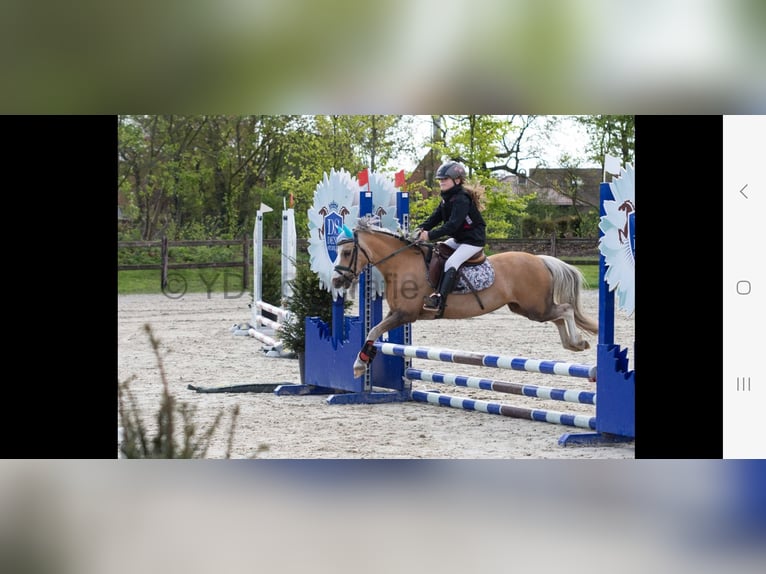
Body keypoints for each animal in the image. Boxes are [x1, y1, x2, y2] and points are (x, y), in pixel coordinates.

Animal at [332, 218, 604, 380]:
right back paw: (574, 344)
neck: (401, 262)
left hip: (535, 308)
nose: (336, 281)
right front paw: (363, 361)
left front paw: (359, 364)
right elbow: (375, 331)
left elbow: (373, 330)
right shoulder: (397, 313)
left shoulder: (405, 314)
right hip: (527, 309)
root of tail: (540, 259)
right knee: (558, 316)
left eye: (347, 252)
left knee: (565, 309)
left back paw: (577, 342)